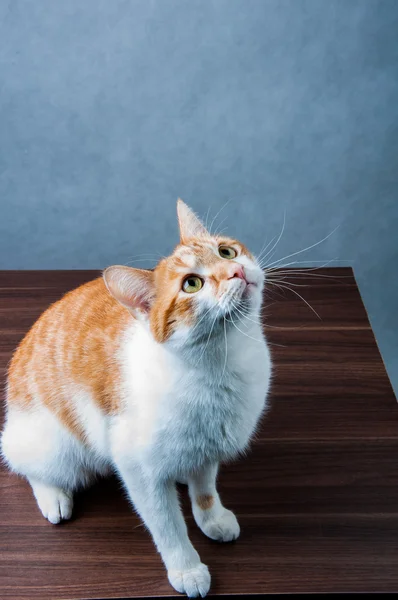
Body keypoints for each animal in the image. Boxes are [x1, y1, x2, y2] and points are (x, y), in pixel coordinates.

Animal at [0, 199, 272, 596]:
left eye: (226, 251)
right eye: (192, 284)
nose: (236, 270)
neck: (223, 362)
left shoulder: (209, 446)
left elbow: (205, 488)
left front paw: (212, 517)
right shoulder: (138, 469)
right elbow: (167, 525)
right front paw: (186, 568)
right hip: (52, 445)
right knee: (29, 465)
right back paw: (53, 496)